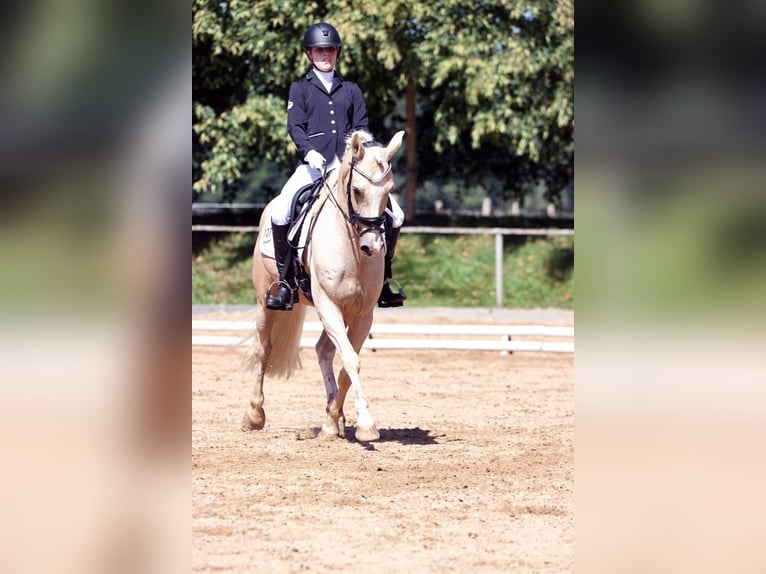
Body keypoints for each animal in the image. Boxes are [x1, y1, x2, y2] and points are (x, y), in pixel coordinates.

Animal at [243, 130, 408, 444]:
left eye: (389, 192)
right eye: (356, 190)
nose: (372, 247)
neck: (352, 248)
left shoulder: (362, 315)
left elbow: (346, 362)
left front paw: (334, 419)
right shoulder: (329, 305)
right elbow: (351, 361)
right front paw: (366, 424)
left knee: (323, 350)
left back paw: (334, 417)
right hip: (264, 302)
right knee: (263, 349)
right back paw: (254, 415)